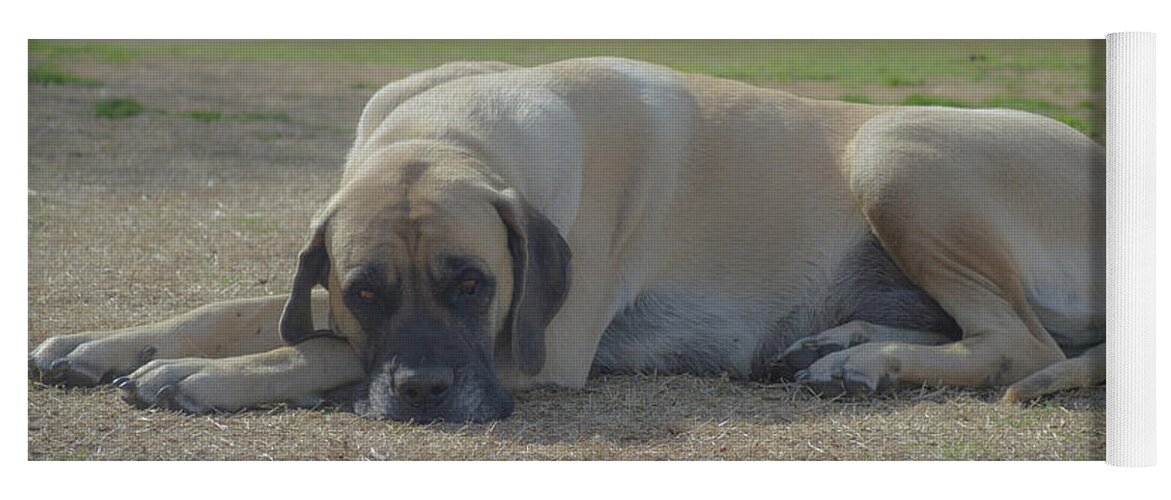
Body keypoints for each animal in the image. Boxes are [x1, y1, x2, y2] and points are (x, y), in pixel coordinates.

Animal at [29, 58, 1105, 423]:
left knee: (1021, 343)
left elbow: (320, 347)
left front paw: (200, 375)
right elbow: (249, 307)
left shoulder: (534, 346)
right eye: (369, 286)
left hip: (892, 151)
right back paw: (841, 345)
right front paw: (105, 341)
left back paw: (863, 360)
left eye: (474, 284)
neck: (453, 133)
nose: (425, 393)